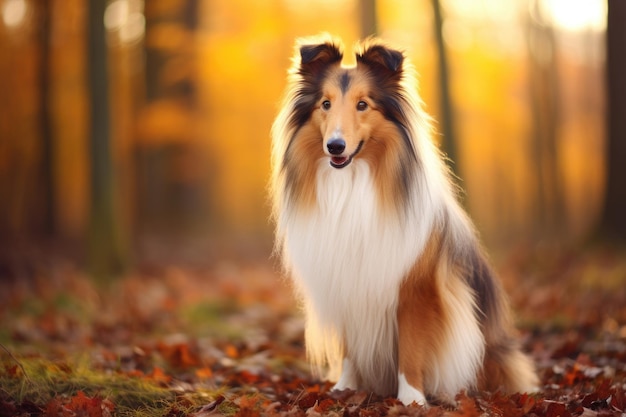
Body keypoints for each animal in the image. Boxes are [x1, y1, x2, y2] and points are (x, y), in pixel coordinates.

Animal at [268, 34, 536, 404]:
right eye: (325, 104)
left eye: (362, 105)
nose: (335, 146)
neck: (353, 183)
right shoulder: (345, 280)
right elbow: (350, 349)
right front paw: (346, 388)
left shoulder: (416, 289)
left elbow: (411, 347)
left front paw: (411, 398)